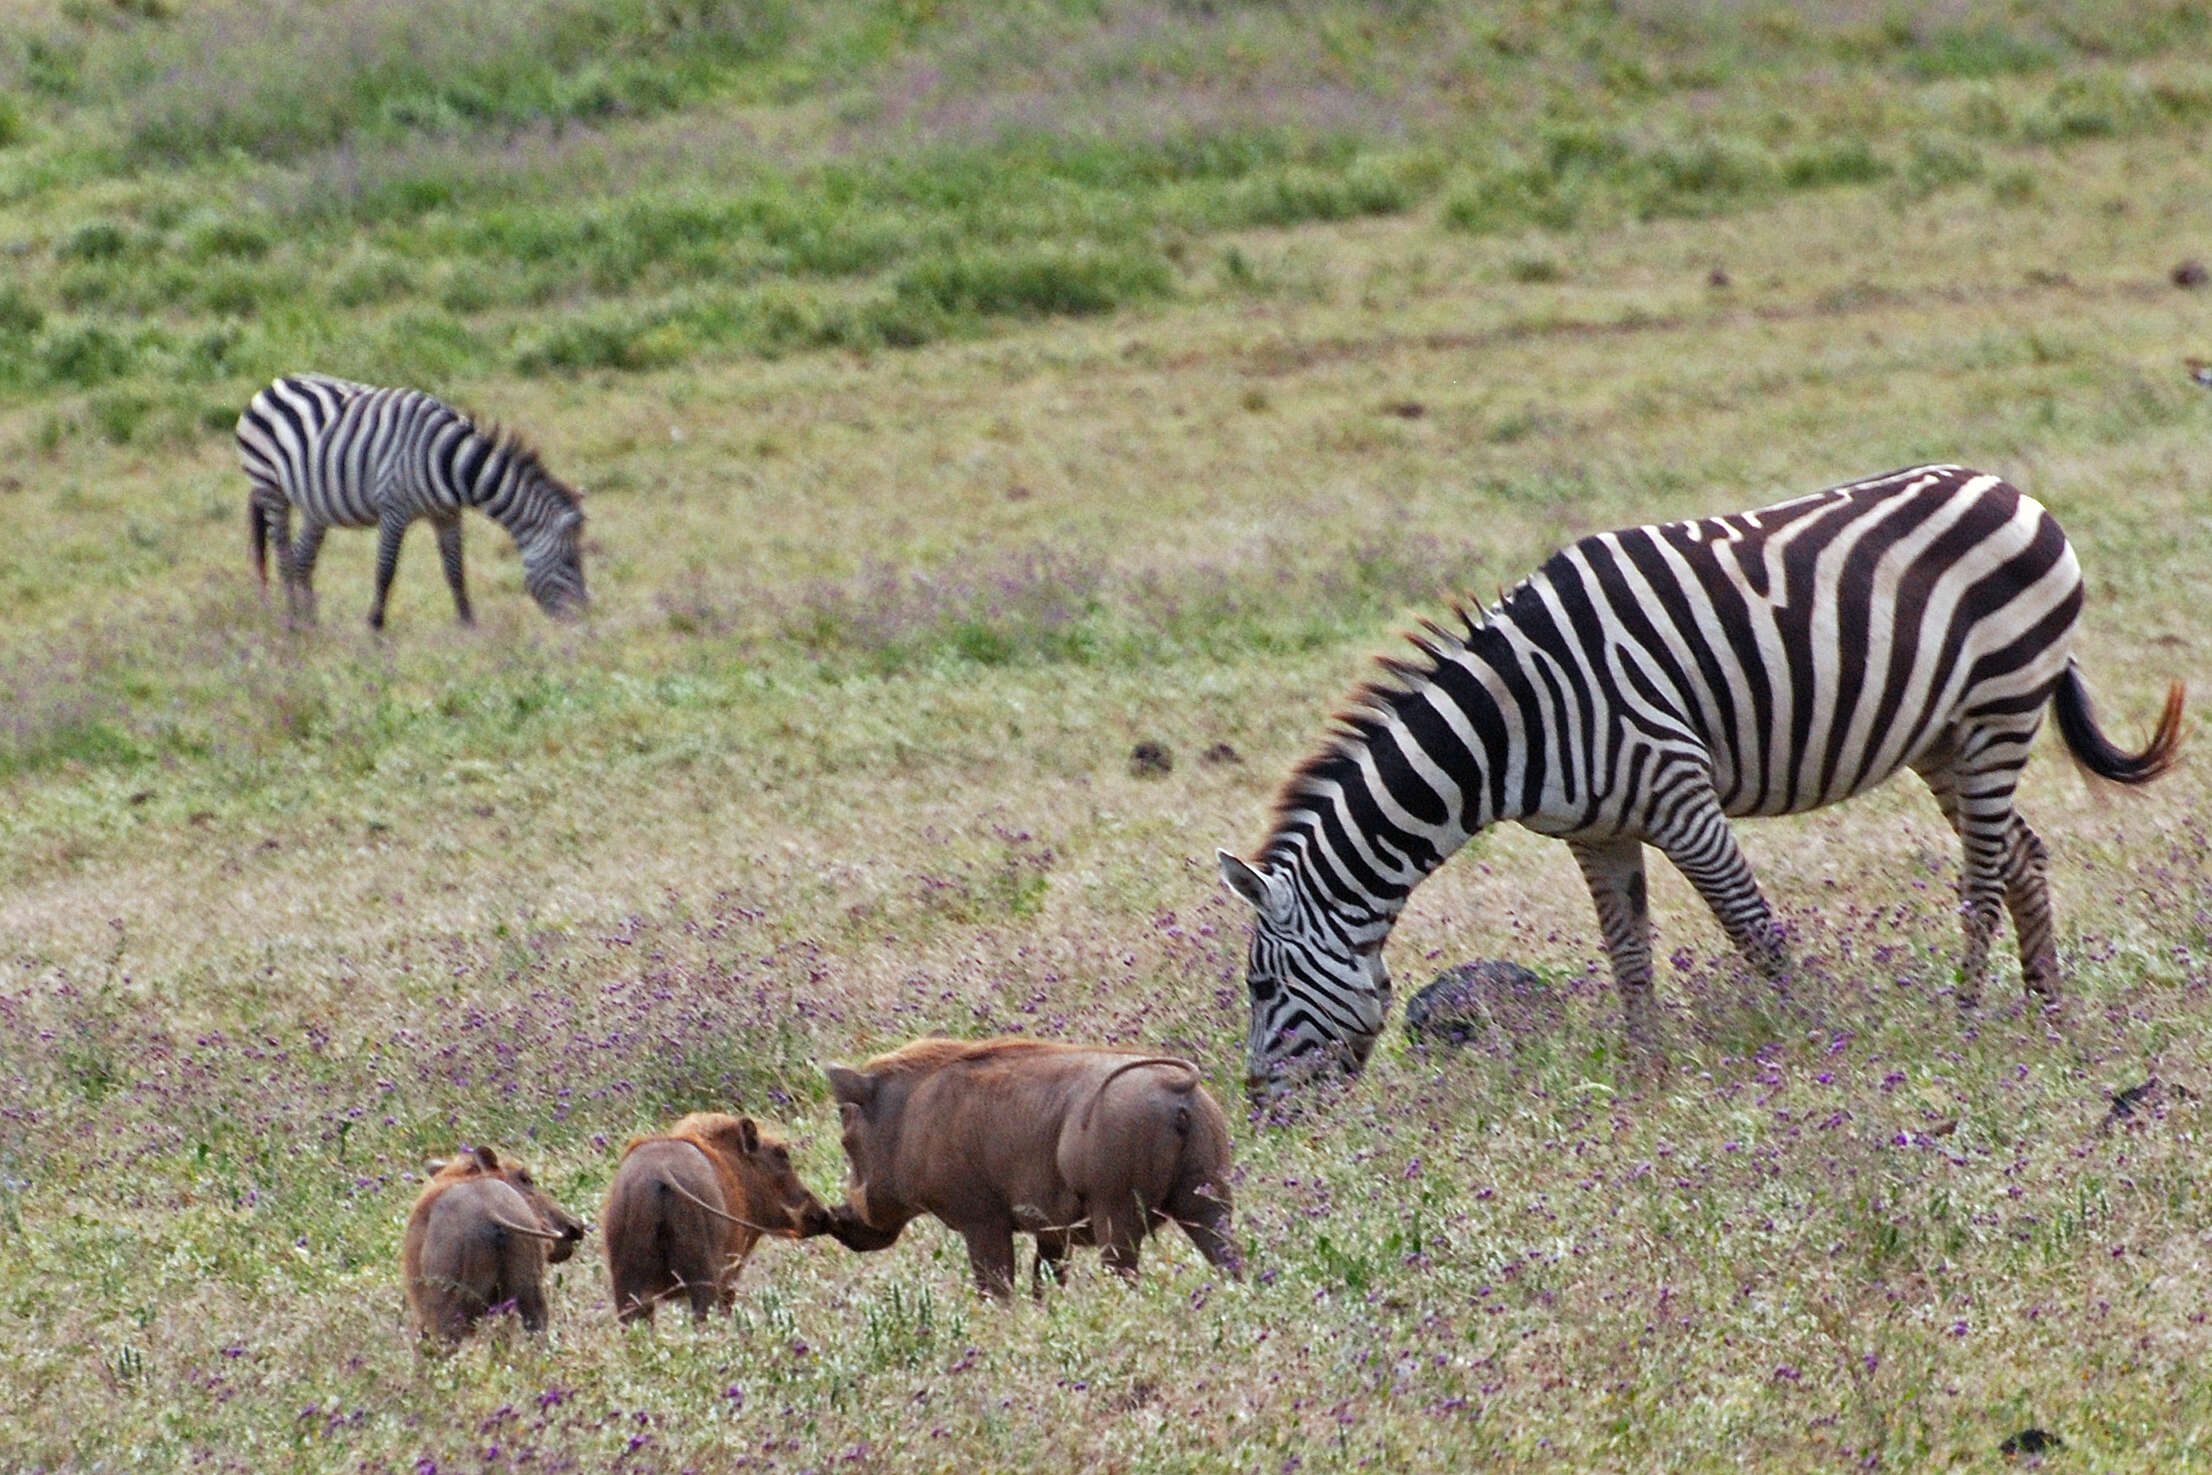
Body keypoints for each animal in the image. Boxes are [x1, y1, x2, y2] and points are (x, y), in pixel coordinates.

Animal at [240, 375, 588, 628]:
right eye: (570, 561)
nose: (584, 618)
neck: (451, 463)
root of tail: (274, 383)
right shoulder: (394, 509)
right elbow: (386, 570)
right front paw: (376, 625)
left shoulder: (448, 514)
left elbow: (455, 570)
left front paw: (468, 623)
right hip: (269, 486)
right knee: (283, 556)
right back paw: (294, 620)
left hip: (316, 504)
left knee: (303, 558)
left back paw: (311, 620)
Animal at [1221, 466, 2185, 1092]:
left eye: (1262, 988)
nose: (1260, 1109)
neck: (1508, 721)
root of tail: (2009, 488)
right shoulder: (1597, 830)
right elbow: (1627, 952)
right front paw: (1645, 1072)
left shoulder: (1677, 788)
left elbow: (1752, 929)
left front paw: (1810, 1040)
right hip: (1944, 737)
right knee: (2022, 854)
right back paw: (2046, 1009)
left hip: (2000, 707)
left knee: (1983, 875)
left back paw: (1968, 1014)